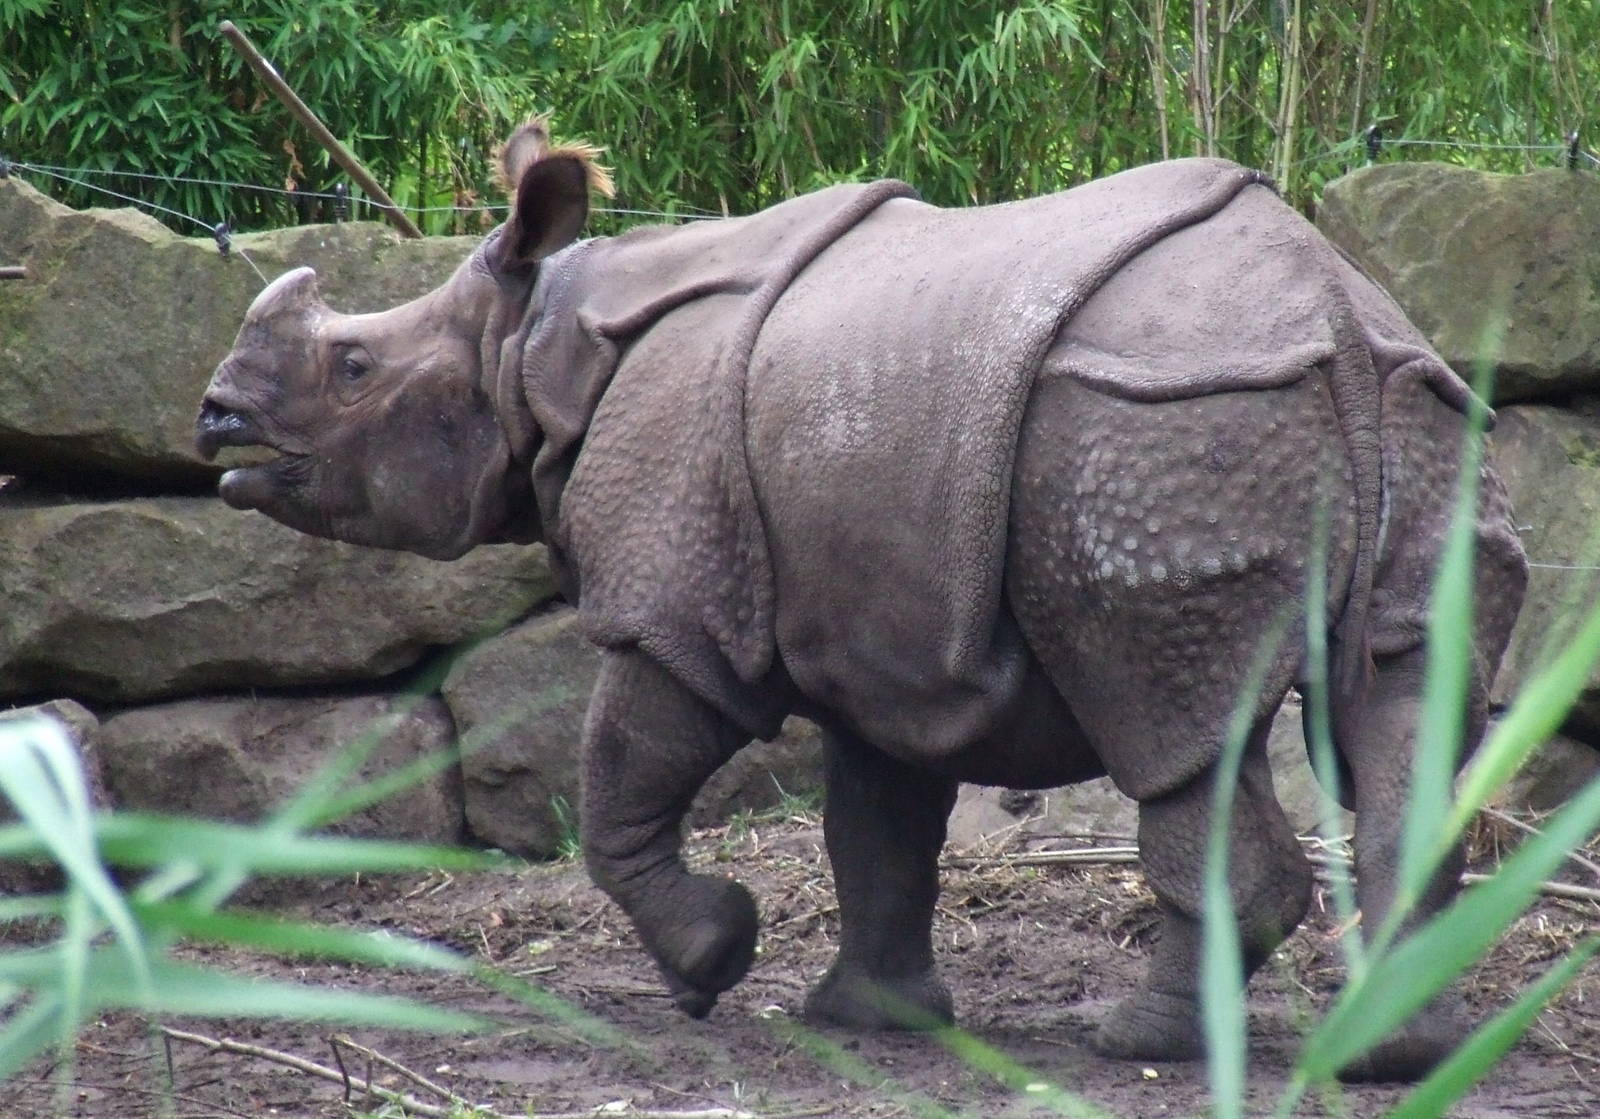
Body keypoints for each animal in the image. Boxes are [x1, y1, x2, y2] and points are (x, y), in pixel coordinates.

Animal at [197, 121, 1526, 1081]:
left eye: (353, 368)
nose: (214, 421)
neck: (531, 346)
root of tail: (1331, 310)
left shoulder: (678, 603)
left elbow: (622, 776)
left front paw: (711, 961)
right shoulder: (880, 631)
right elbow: (876, 822)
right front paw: (871, 1021)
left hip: (1155, 421)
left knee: (1167, 720)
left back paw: (1135, 1042)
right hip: (1418, 403)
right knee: (1411, 701)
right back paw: (1395, 1053)